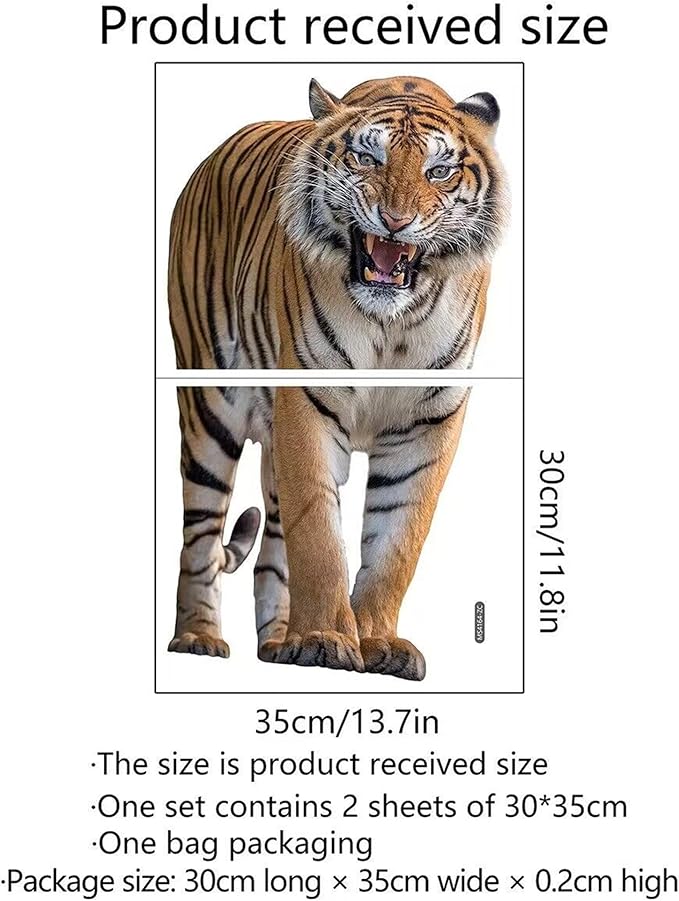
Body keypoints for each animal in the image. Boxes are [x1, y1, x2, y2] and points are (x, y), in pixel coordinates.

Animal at [169, 384, 469, 680]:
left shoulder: (429, 424)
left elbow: (396, 551)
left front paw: (379, 640)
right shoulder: (305, 403)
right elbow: (318, 539)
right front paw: (322, 637)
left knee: (270, 562)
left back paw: (279, 643)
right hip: (210, 428)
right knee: (200, 547)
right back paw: (198, 635)